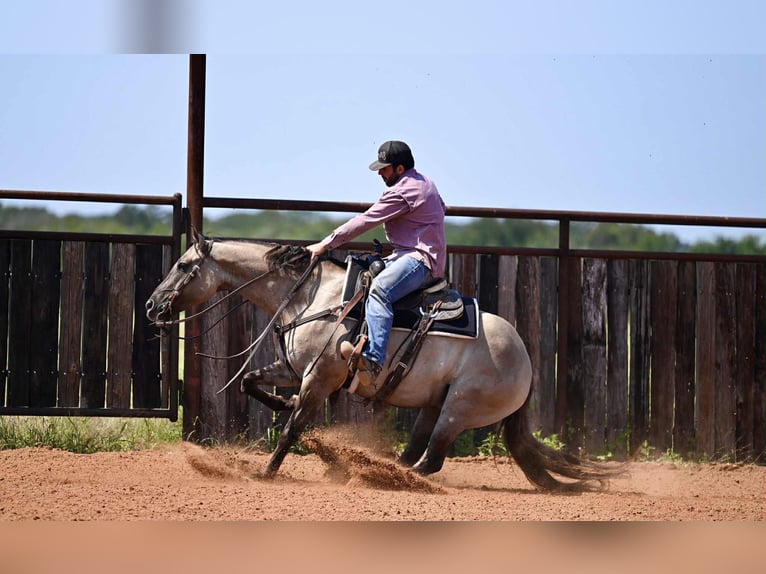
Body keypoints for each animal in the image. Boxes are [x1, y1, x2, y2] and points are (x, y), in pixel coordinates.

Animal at [146, 230, 620, 491]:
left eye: (184, 265)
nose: (151, 306)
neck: (309, 297)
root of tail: (525, 358)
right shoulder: (295, 371)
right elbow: (254, 385)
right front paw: (294, 416)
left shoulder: (319, 378)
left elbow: (292, 429)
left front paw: (267, 472)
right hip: (436, 404)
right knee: (416, 453)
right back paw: (374, 467)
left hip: (459, 410)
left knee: (430, 460)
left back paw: (387, 476)